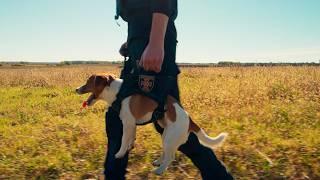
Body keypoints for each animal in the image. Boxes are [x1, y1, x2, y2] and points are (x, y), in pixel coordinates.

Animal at [76, 73, 226, 174]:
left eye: (88, 81)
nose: (76, 89)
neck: (118, 92)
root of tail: (189, 121)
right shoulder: (131, 125)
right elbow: (130, 139)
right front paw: (129, 148)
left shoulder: (128, 123)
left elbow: (123, 141)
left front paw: (119, 154)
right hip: (166, 136)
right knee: (166, 153)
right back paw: (158, 162)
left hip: (170, 138)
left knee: (170, 156)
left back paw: (159, 171)